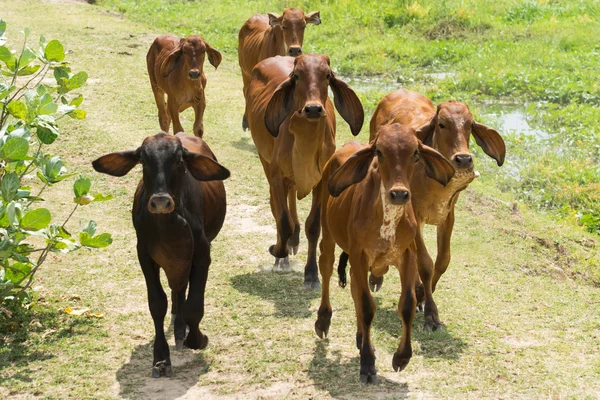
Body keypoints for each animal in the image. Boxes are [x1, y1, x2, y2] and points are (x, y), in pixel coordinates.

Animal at [92, 132, 230, 378]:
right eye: (143, 161)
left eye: (178, 160)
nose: (160, 202)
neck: (168, 226)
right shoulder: (145, 256)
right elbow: (157, 304)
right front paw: (161, 358)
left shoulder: (202, 254)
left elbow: (194, 306)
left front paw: (197, 339)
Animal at [245, 54, 366, 290]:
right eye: (296, 76)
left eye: (327, 75)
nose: (313, 109)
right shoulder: (277, 176)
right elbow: (283, 221)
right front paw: (278, 252)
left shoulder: (322, 182)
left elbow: (313, 226)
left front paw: (311, 274)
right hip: (267, 163)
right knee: (277, 209)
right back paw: (284, 255)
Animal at [314, 123, 454, 382]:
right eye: (379, 152)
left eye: (415, 153)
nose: (399, 194)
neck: (387, 218)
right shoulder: (359, 256)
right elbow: (367, 306)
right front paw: (368, 364)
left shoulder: (406, 255)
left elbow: (407, 304)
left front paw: (401, 357)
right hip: (327, 232)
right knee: (326, 268)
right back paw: (323, 320)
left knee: (354, 290)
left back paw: (361, 337)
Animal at [338, 90, 506, 332]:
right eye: (442, 124)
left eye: (470, 125)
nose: (464, 159)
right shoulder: (414, 215)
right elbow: (426, 264)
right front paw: (431, 314)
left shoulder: (448, 215)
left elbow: (442, 261)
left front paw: (421, 296)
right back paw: (377, 277)